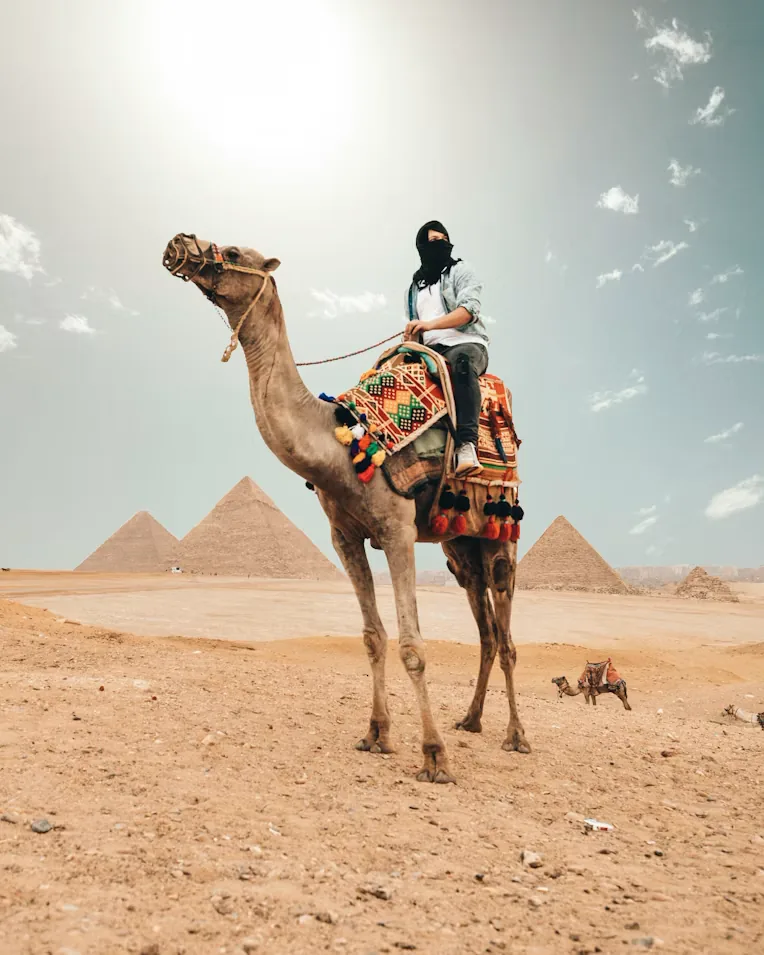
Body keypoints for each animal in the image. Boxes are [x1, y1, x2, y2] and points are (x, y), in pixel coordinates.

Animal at [162, 234, 530, 784]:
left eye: (232, 251)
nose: (179, 243)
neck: (337, 443)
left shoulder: (397, 529)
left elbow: (412, 646)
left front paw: (434, 757)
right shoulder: (345, 536)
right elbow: (373, 637)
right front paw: (377, 735)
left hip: (499, 536)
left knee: (505, 638)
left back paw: (516, 736)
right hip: (459, 545)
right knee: (485, 632)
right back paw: (471, 720)